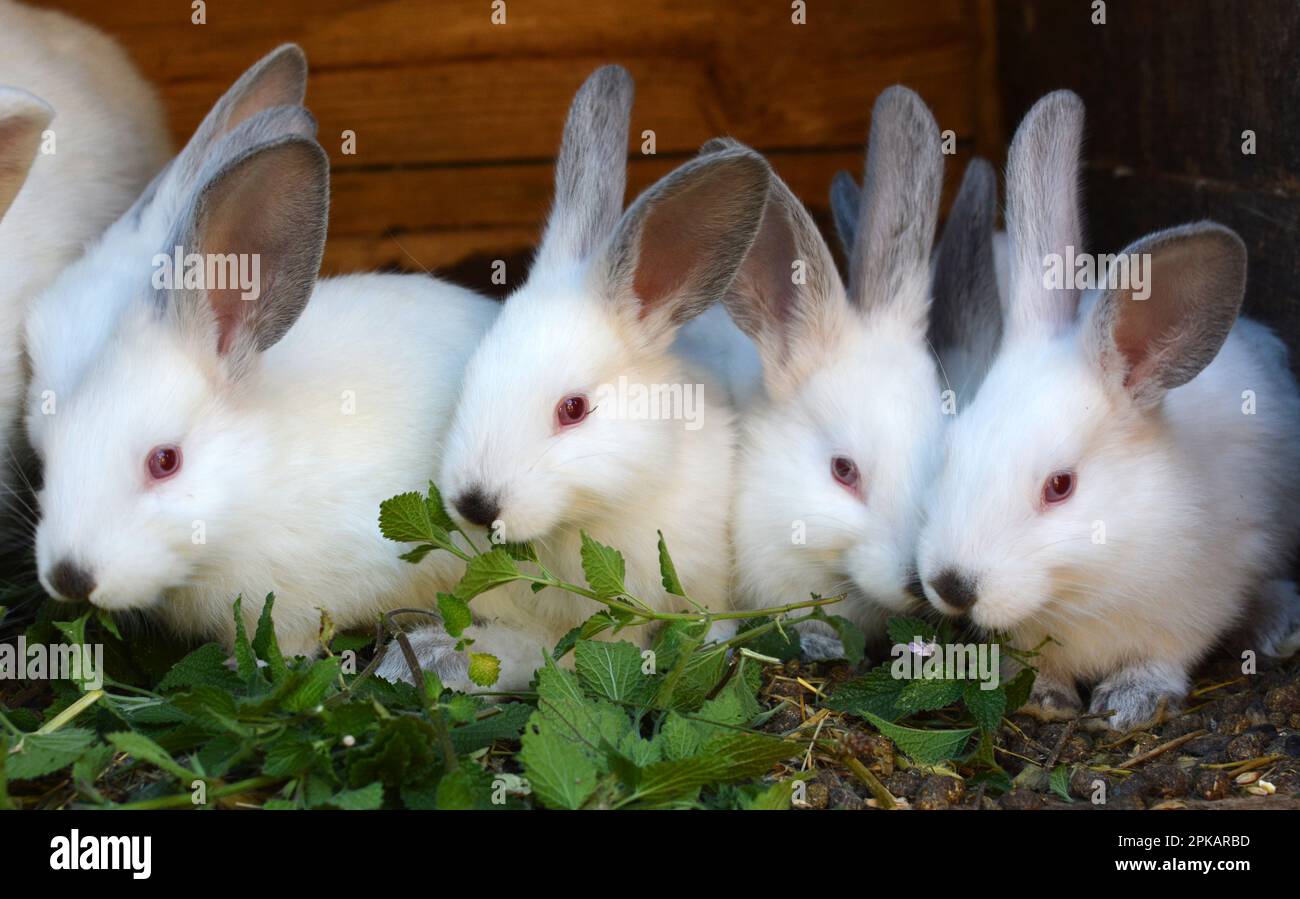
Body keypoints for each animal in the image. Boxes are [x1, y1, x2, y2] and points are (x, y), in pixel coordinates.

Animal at [915, 89, 1300, 732]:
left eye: (1061, 486)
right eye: (950, 453)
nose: (953, 585)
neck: (1079, 584)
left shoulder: (1192, 607)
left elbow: (1161, 658)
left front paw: (1130, 703)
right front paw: (1045, 698)